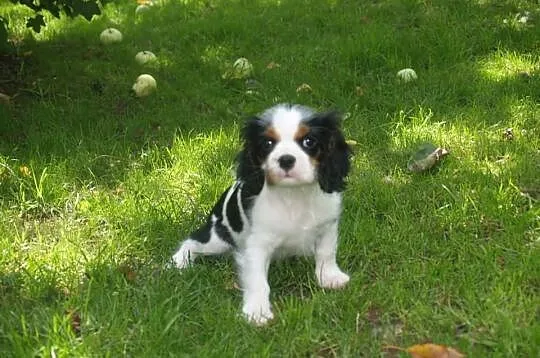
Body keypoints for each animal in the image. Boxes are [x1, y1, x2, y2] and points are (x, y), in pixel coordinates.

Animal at [171, 103, 352, 324]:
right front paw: (257, 311)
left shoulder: (327, 226)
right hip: (217, 239)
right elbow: (257, 279)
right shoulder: (256, 244)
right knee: (191, 242)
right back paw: (179, 262)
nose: (286, 160)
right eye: (267, 143)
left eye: (309, 141)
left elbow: (327, 252)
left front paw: (329, 277)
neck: (294, 194)